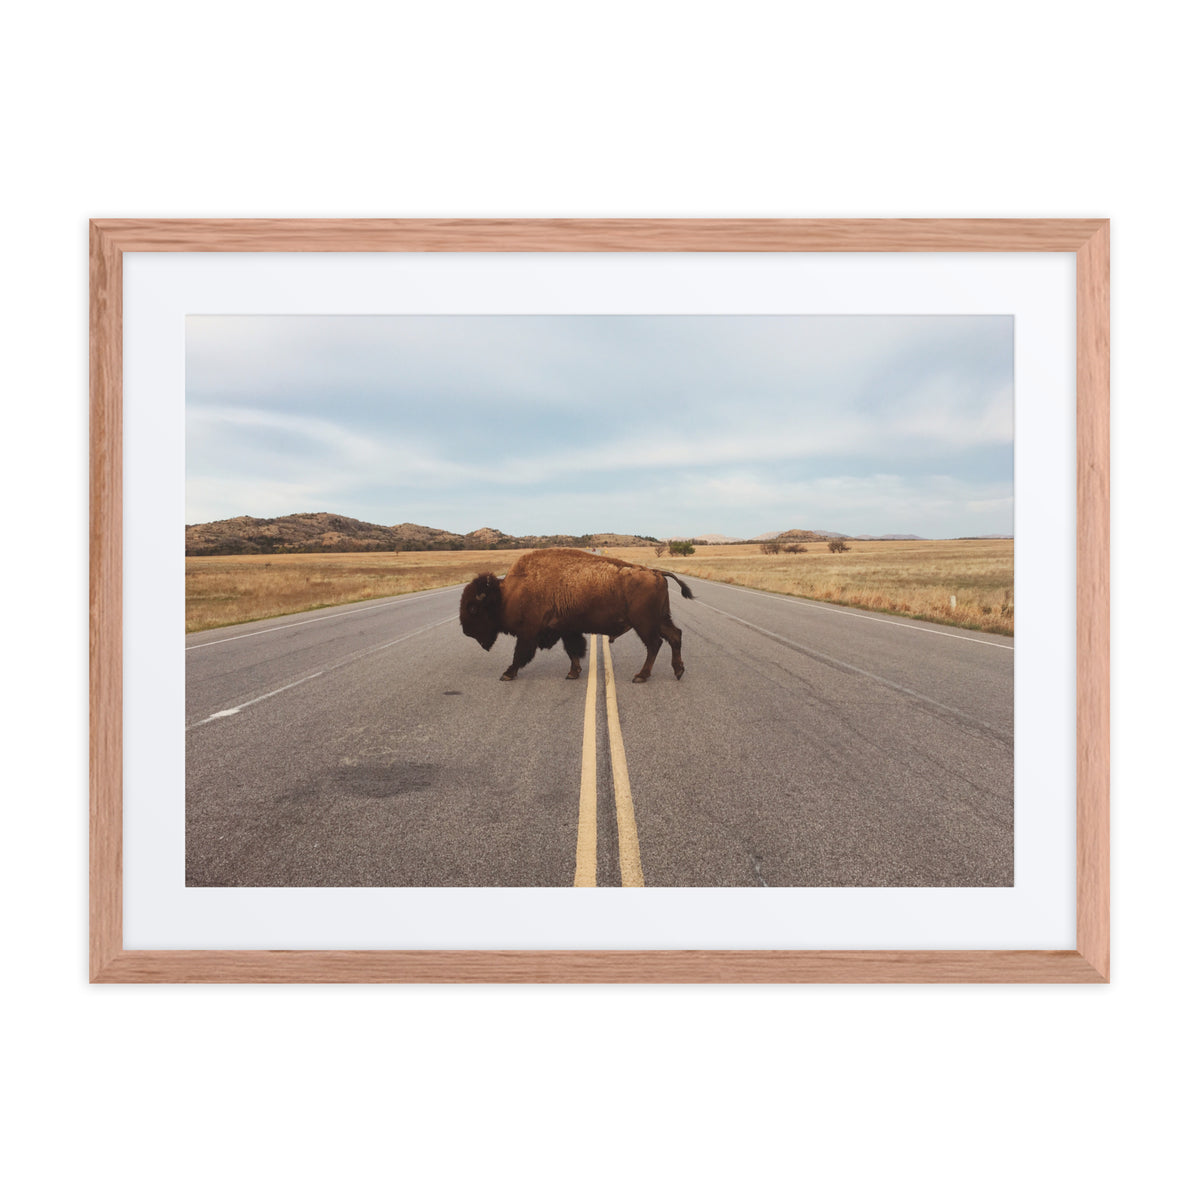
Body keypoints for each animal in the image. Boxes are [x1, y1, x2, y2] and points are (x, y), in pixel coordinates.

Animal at [459, 547, 694, 682]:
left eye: (473, 608)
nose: (466, 631)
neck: (507, 593)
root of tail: (656, 572)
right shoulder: (566, 630)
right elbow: (572, 651)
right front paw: (573, 673)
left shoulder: (529, 633)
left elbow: (520, 655)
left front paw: (507, 674)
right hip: (660, 619)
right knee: (675, 636)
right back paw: (678, 671)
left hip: (644, 624)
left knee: (655, 644)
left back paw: (641, 676)